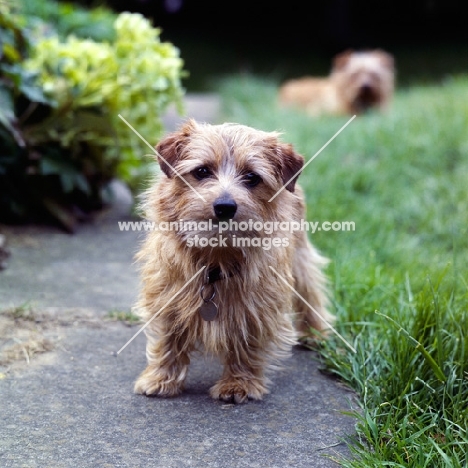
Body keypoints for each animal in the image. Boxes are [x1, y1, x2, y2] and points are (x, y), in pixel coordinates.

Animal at [133, 119, 334, 402]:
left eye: (251, 177)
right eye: (202, 171)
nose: (225, 206)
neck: (217, 255)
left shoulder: (258, 303)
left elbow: (246, 341)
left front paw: (239, 384)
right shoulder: (165, 292)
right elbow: (167, 338)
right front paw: (161, 378)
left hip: (300, 257)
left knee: (311, 290)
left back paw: (315, 332)